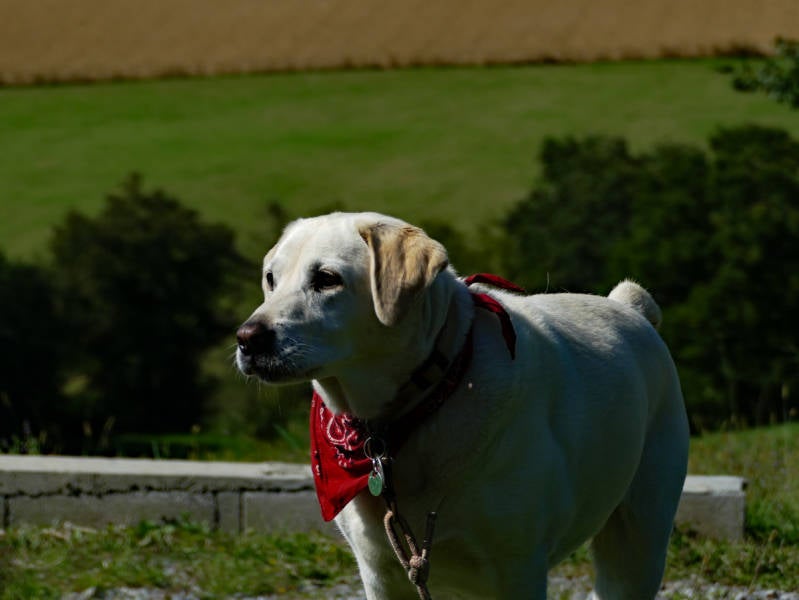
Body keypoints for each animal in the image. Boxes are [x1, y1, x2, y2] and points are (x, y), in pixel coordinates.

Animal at [236, 212, 689, 600]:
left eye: (327, 279)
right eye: (271, 279)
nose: (247, 338)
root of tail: (629, 306)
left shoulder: (518, 569)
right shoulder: (381, 572)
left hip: (639, 540)